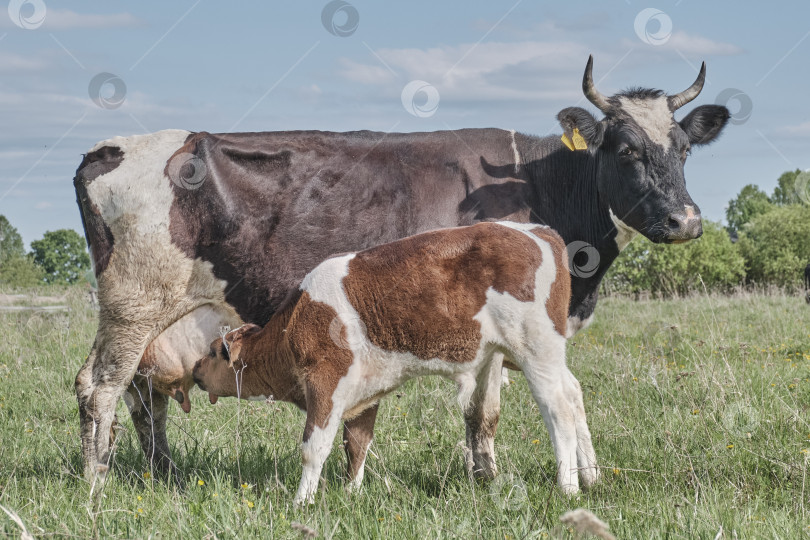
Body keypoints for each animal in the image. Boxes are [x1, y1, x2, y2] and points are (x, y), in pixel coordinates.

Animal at [189, 220, 592, 502]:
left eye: (213, 351)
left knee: (558, 408)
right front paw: (351, 494)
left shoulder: (326, 380)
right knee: (574, 393)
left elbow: (313, 448)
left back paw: (568, 487)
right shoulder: (365, 389)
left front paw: (301, 502)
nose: (194, 370)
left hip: (534, 349)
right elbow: (357, 443)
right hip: (542, 352)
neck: (297, 319)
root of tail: (537, 231)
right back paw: (591, 475)